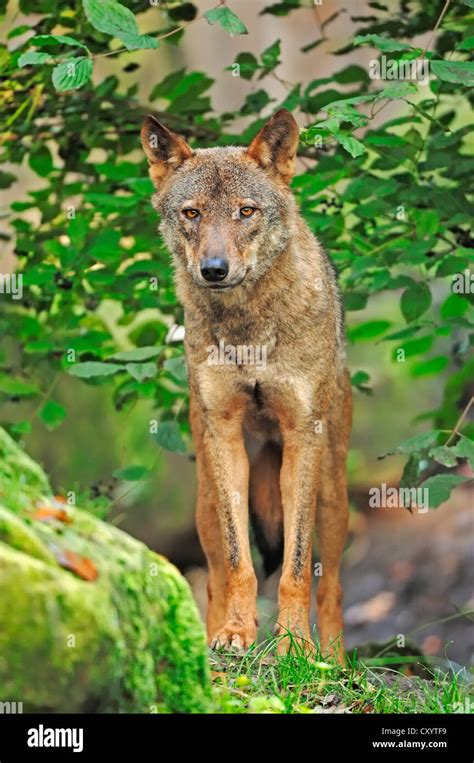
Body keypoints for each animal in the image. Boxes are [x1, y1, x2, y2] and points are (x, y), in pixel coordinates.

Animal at [141, 107, 352, 664]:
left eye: (245, 211)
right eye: (192, 213)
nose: (214, 270)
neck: (247, 329)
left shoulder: (302, 438)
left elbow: (297, 568)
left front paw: (295, 643)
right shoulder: (224, 438)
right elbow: (240, 564)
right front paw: (237, 633)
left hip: (332, 493)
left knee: (333, 585)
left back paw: (336, 661)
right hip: (205, 500)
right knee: (215, 574)